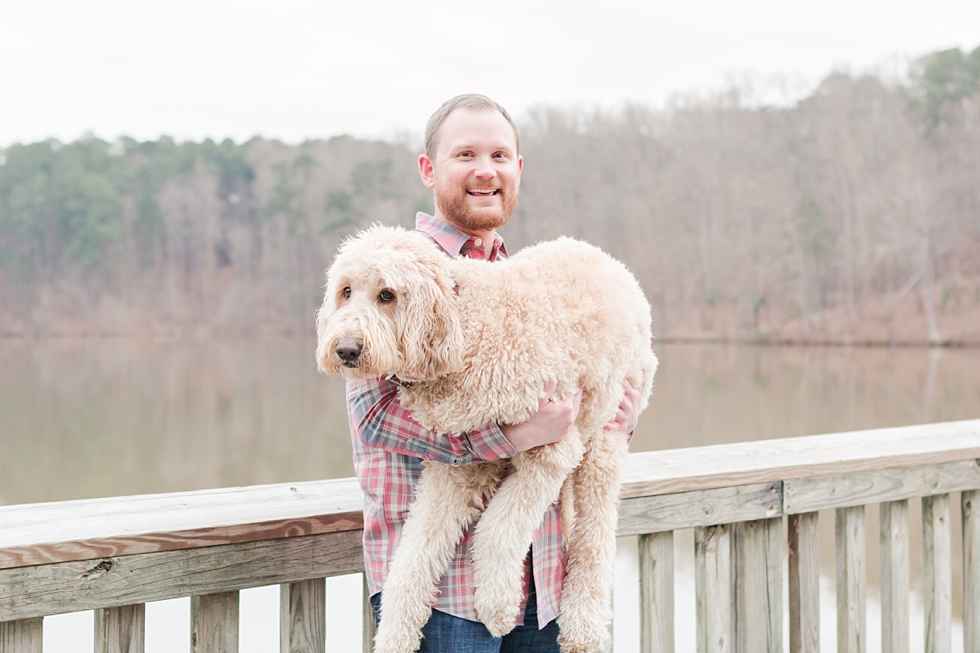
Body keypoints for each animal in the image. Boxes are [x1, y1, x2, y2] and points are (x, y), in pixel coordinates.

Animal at [318, 225, 656, 652]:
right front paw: (395, 636)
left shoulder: (551, 448)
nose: (346, 350)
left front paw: (498, 608)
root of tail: (614, 264)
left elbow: (497, 529)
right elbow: (413, 553)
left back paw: (583, 626)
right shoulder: (459, 465)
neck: (463, 323)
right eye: (345, 291)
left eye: (387, 295)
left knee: (596, 529)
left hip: (604, 430)